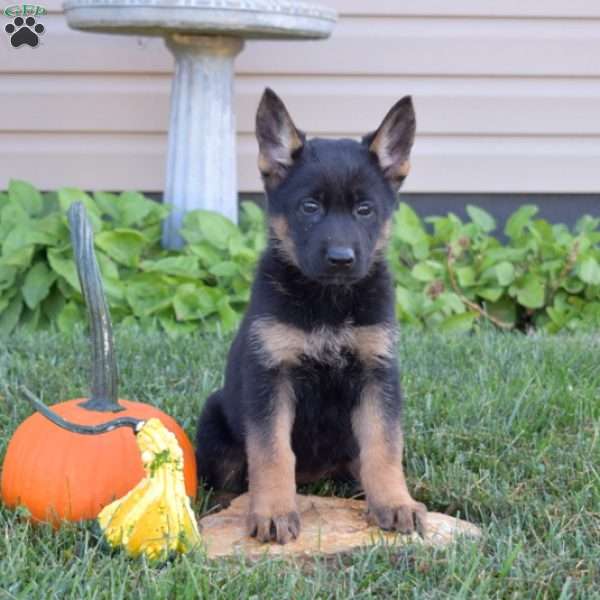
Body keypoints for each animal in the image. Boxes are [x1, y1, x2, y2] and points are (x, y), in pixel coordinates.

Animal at [197, 88, 426, 544]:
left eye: (364, 210)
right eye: (309, 207)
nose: (341, 259)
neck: (328, 302)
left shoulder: (377, 375)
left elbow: (385, 448)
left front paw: (396, 502)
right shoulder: (271, 377)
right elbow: (272, 453)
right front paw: (273, 512)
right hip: (214, 421)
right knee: (228, 480)